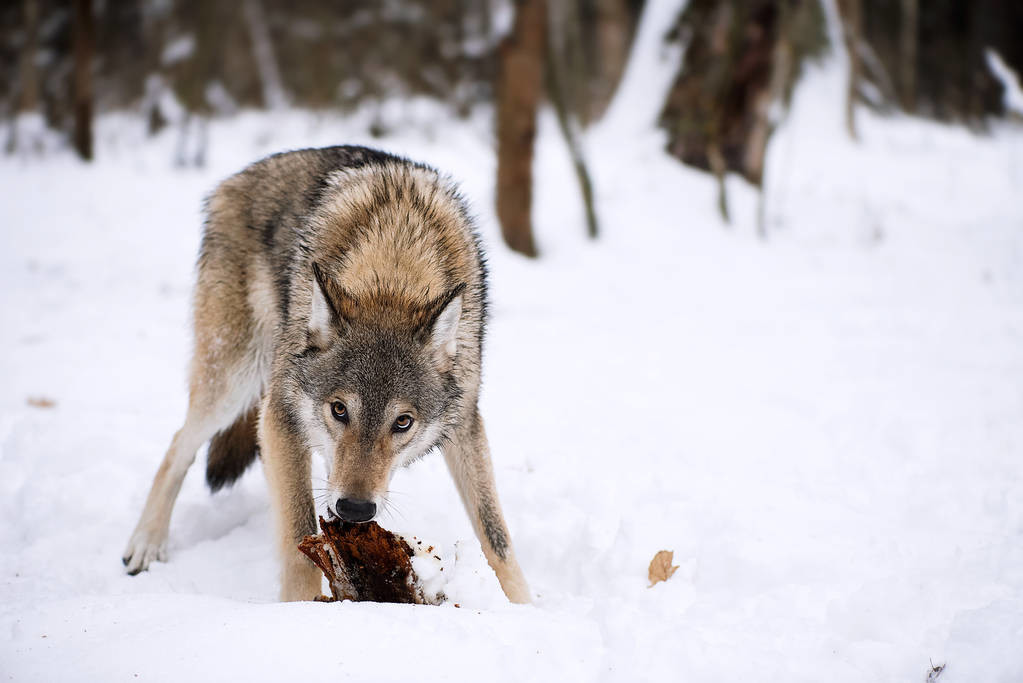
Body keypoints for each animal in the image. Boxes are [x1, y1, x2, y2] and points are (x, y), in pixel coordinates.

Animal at [121, 145, 527, 601]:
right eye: (339, 409)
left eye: (403, 422)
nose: (355, 509)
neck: (395, 268)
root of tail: (237, 179)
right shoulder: (281, 414)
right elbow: (299, 539)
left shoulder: (465, 422)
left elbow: (497, 537)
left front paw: (524, 605)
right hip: (233, 381)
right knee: (179, 443)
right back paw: (146, 543)